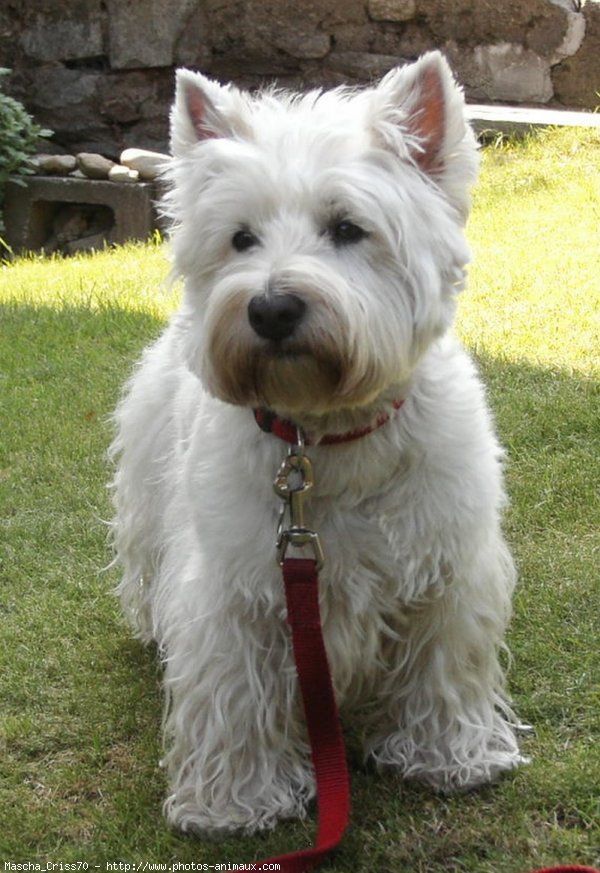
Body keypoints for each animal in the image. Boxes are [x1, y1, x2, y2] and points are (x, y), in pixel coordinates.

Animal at [110, 51, 524, 836]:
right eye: (241, 238)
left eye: (347, 228)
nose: (270, 308)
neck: (330, 434)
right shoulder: (239, 589)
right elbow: (235, 694)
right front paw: (234, 802)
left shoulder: (447, 564)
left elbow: (443, 663)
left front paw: (448, 756)